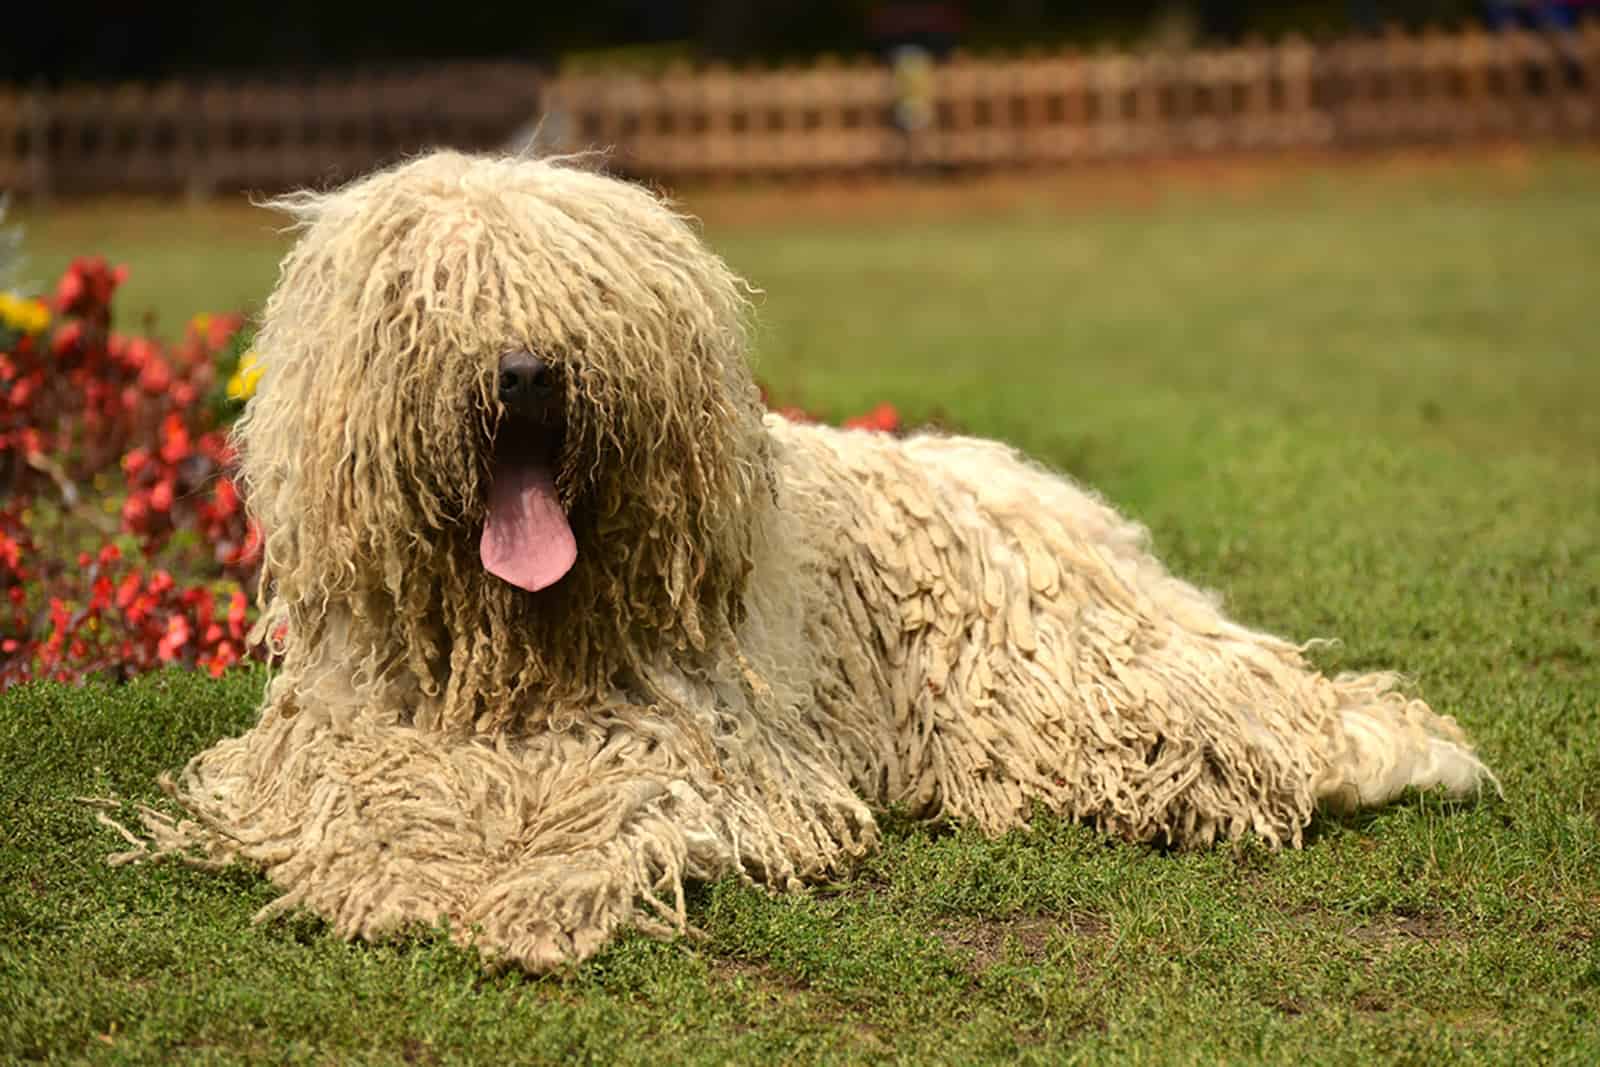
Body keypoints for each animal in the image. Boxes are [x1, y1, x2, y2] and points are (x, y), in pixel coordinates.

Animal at [116, 151, 1497, 979]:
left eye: (581, 292)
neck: (518, 650)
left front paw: (532, 887)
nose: (523, 369)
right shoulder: (349, 736)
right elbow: (371, 798)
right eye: (429, 292)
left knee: (1262, 720)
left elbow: (612, 805)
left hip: (1061, 692)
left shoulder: (695, 746)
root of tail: (1074, 518)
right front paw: (411, 865)